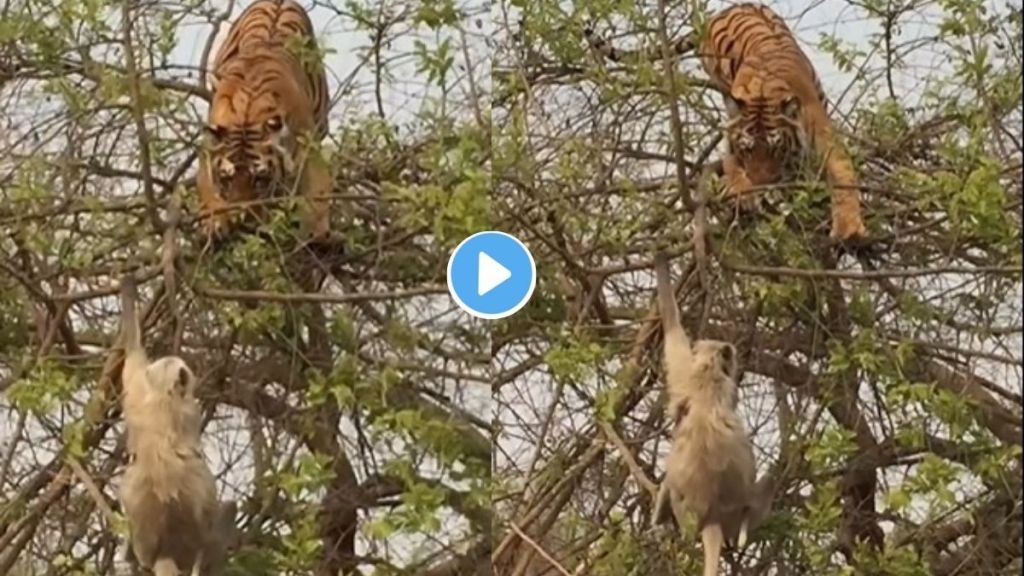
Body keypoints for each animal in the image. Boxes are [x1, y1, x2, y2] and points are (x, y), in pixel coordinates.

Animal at [198, 0, 332, 243]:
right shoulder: (209, 146)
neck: (247, 116)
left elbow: (317, 189)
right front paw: (215, 222)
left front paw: (316, 232)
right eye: (226, 179)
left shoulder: (309, 144)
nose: (242, 223)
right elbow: (208, 189)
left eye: (260, 180)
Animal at [698, 3, 867, 243]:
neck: (763, 92)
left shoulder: (822, 134)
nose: (761, 185)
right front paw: (743, 194)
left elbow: (841, 172)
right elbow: (731, 166)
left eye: (775, 149)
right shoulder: (732, 133)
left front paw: (848, 227)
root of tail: (730, 7)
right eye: (747, 150)